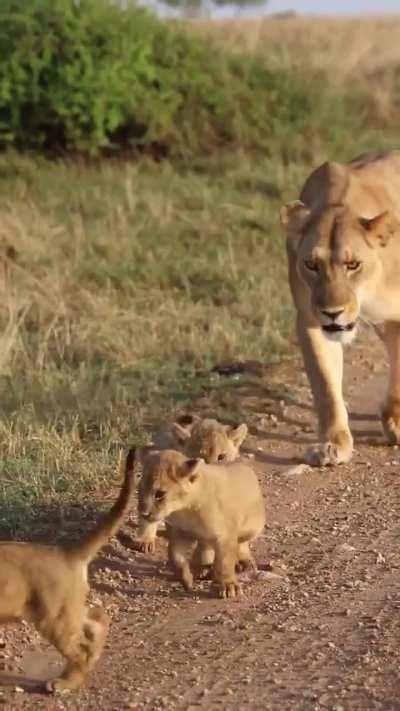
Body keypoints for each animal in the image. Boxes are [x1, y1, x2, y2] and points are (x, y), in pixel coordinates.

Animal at [0, 448, 137, 693]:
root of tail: (67, 552)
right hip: (65, 609)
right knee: (98, 618)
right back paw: (92, 657)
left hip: (54, 616)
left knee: (80, 648)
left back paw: (64, 683)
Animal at [138, 449, 265, 598]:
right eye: (140, 488)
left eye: (159, 494)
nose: (143, 513)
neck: (185, 510)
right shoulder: (180, 532)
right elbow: (175, 557)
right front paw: (186, 579)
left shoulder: (225, 535)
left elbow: (224, 562)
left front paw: (228, 586)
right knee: (205, 546)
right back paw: (202, 568)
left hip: (253, 528)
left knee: (242, 542)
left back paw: (244, 562)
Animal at [280, 150, 400, 466]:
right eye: (311, 264)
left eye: (352, 264)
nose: (332, 312)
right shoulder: (309, 320)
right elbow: (326, 386)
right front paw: (333, 444)